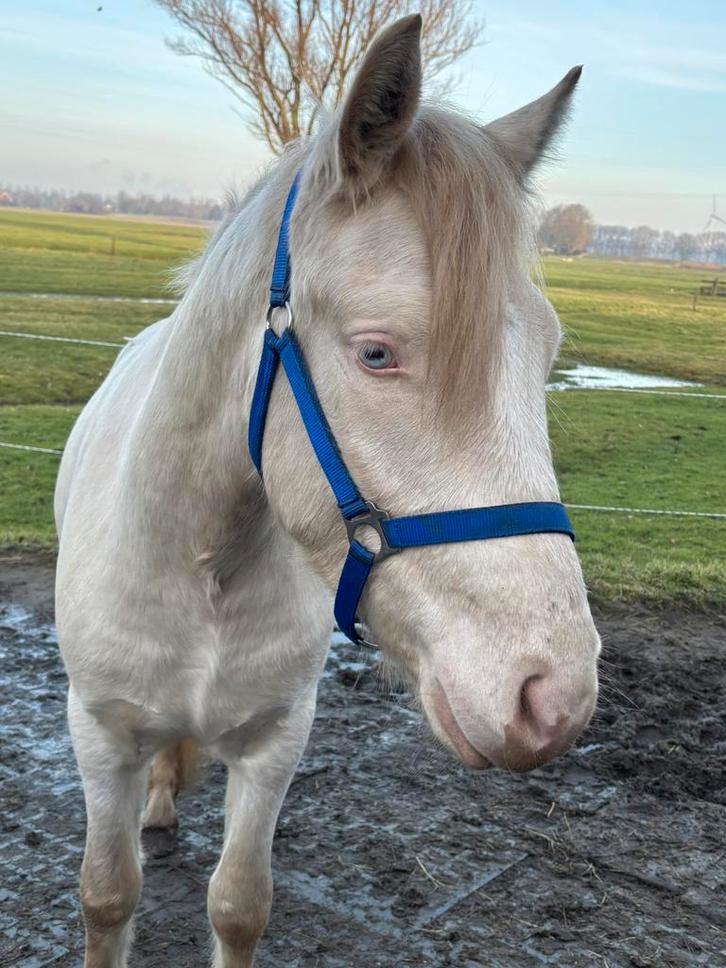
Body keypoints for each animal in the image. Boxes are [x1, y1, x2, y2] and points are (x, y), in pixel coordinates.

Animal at [54, 14, 600, 967]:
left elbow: (239, 904)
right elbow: (108, 896)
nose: (553, 696)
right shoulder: (99, 735)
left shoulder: (278, 740)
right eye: (377, 353)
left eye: (547, 352)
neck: (203, 559)